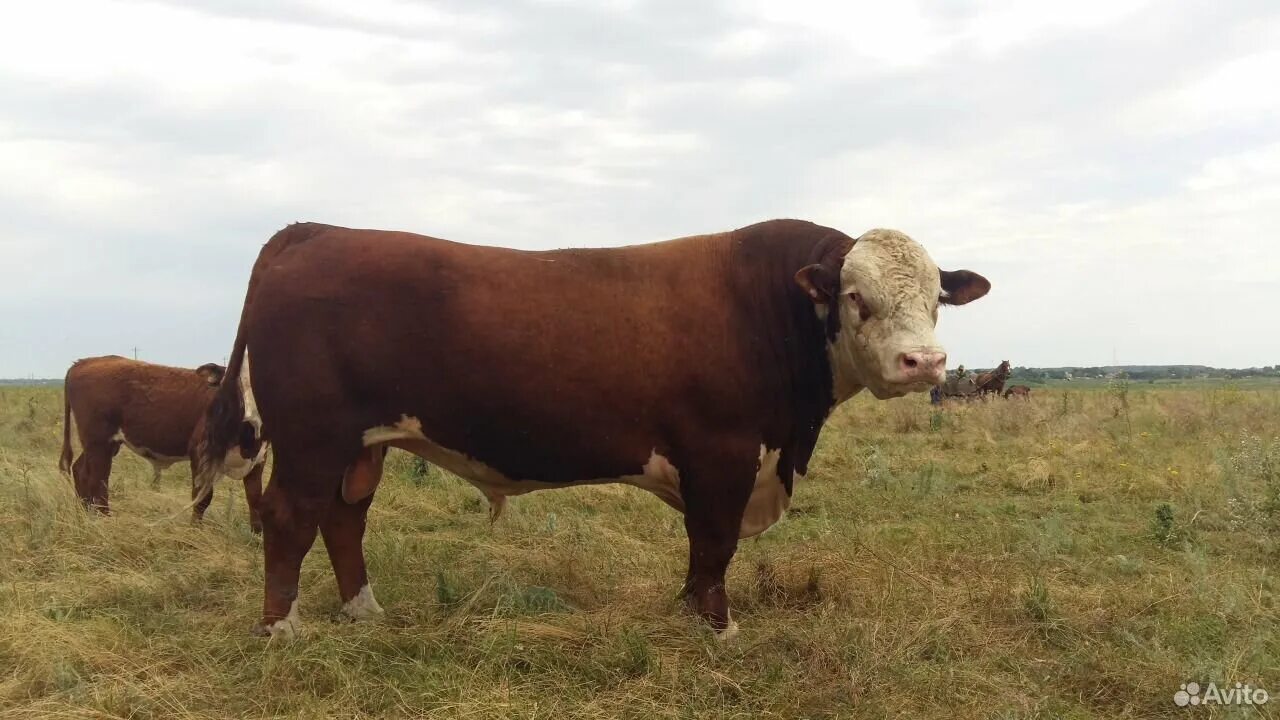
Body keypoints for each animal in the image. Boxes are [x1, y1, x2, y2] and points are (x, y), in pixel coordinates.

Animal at [192, 215, 988, 635]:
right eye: (855, 296)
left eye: (938, 300)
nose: (923, 361)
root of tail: (315, 232)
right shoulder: (724, 453)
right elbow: (716, 543)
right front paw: (717, 627)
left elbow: (702, 549)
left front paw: (687, 613)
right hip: (312, 438)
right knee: (290, 517)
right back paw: (282, 628)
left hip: (364, 444)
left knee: (343, 518)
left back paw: (365, 611)